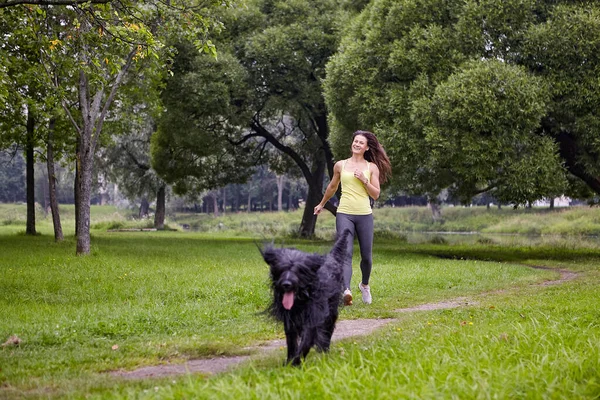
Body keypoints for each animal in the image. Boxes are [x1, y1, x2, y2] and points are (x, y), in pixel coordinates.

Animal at [258, 231, 352, 366]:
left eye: (299, 270)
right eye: (282, 269)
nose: (286, 284)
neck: (301, 299)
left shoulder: (313, 316)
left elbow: (306, 341)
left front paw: (296, 362)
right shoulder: (290, 319)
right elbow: (291, 342)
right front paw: (289, 362)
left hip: (332, 309)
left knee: (328, 328)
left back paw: (324, 350)